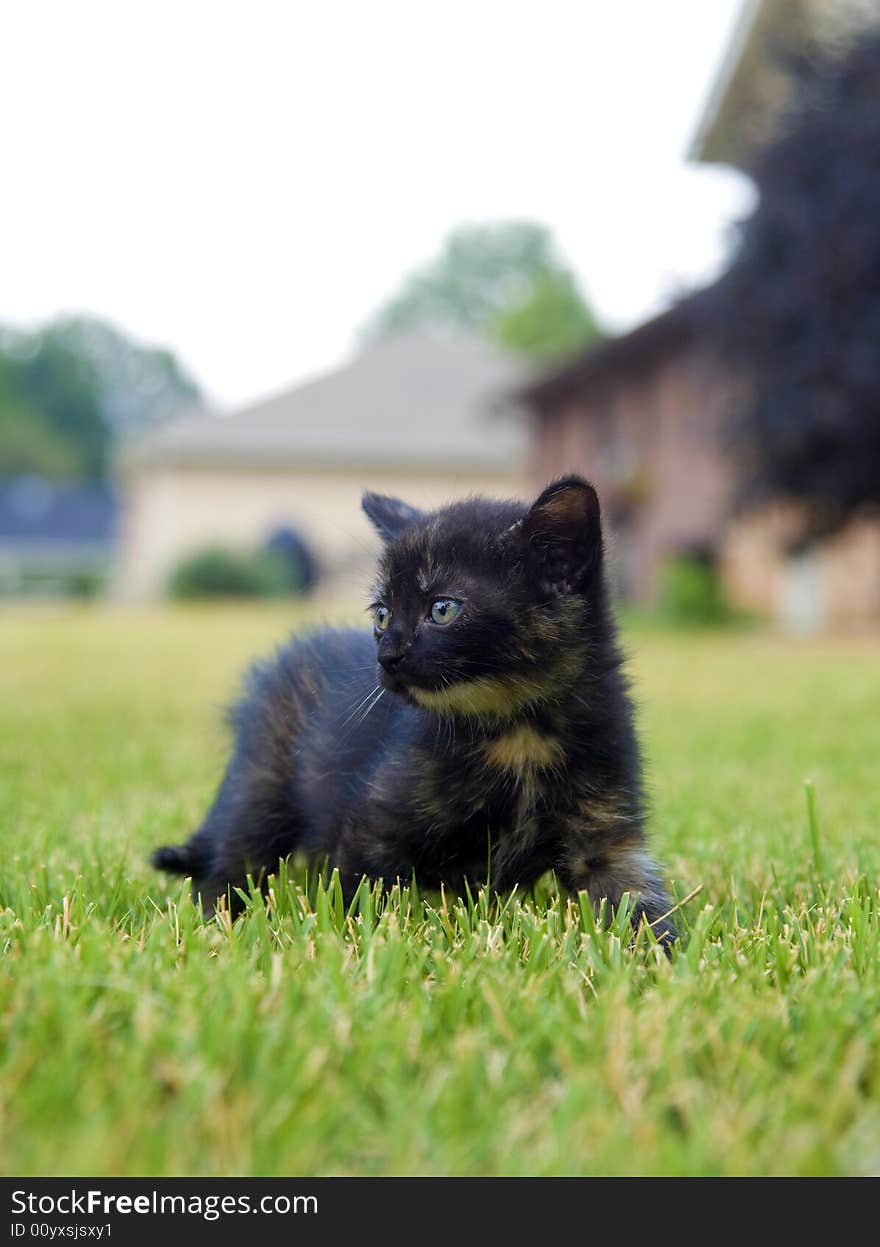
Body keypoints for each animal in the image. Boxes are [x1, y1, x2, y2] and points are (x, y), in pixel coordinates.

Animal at [152, 476, 673, 942]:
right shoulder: (375, 823)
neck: (518, 732)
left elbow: (638, 903)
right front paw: (360, 942)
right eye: (381, 615)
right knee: (236, 855)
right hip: (262, 784)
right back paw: (217, 922)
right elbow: (363, 896)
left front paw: (658, 958)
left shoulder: (607, 836)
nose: (386, 658)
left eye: (442, 609)